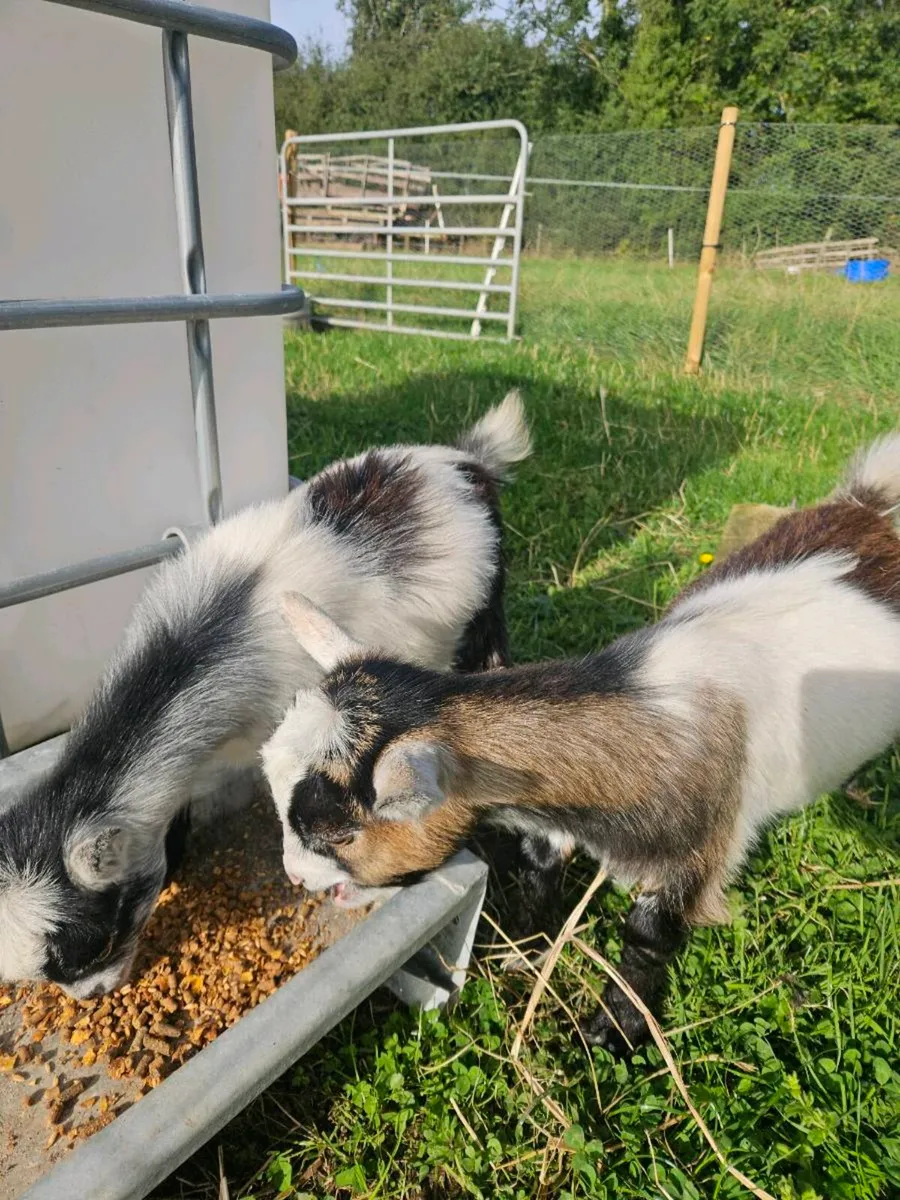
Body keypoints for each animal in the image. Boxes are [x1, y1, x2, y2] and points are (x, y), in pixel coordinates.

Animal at [261, 432, 900, 1054]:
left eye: (340, 834)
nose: (294, 877)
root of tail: (871, 502)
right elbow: (542, 866)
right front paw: (523, 952)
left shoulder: (698, 854)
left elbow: (647, 938)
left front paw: (613, 1032)